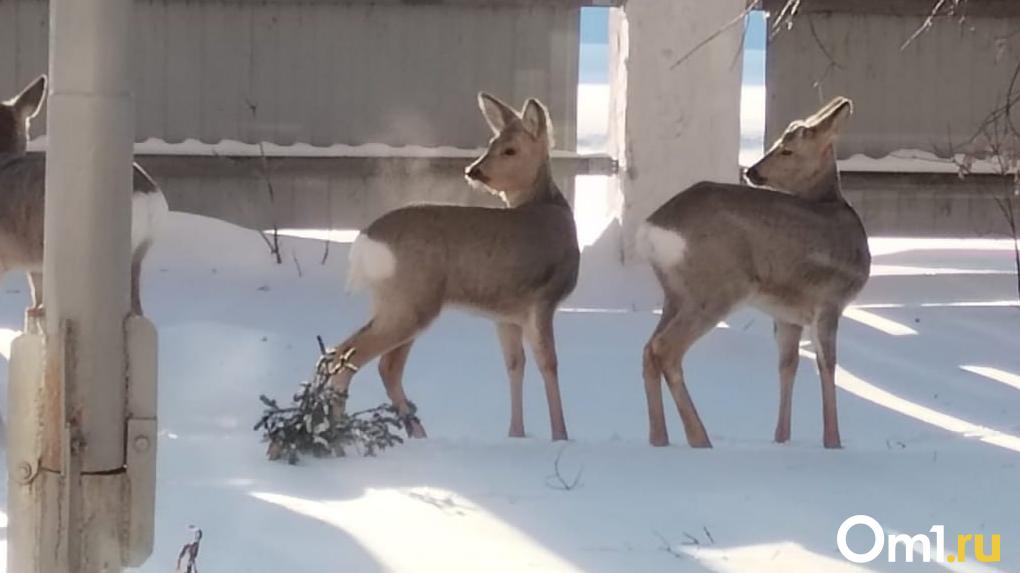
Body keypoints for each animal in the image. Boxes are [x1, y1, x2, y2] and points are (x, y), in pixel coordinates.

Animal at [330, 93, 579, 438]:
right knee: (351, 356)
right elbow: (549, 365)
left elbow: (515, 365)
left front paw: (516, 434)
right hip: (412, 301)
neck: (549, 208)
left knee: (380, 364)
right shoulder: (542, 299)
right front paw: (560, 436)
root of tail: (365, 241)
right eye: (493, 143)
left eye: (509, 149)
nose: (474, 171)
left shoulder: (506, 314)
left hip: (394, 301)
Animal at [636, 96, 869, 446]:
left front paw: (781, 438)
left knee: (648, 349)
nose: (752, 170)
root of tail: (653, 228)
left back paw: (659, 439)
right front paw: (833, 442)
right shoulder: (830, 301)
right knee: (666, 349)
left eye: (786, 149)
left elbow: (787, 365)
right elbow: (827, 365)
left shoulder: (787, 315)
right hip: (718, 288)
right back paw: (700, 439)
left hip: (675, 293)